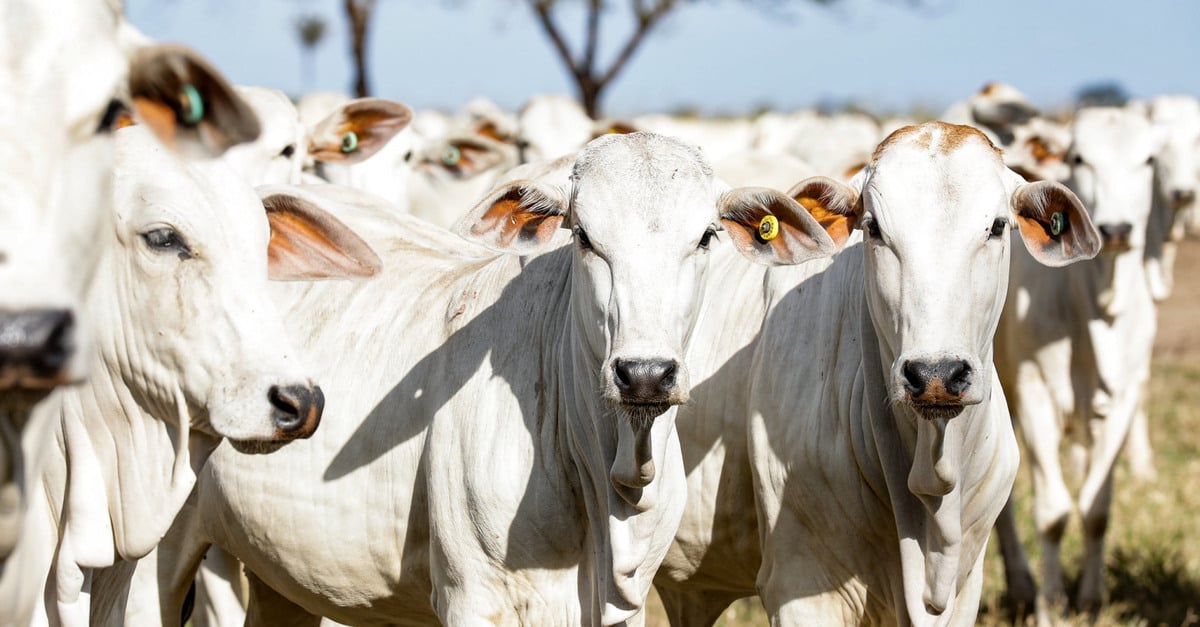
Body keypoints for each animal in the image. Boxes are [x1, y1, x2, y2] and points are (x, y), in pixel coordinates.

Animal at [993, 105, 1171, 614]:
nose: (1117, 230)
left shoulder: (1125, 396)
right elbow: (1053, 513)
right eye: (1079, 158)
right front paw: (1051, 606)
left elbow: (1096, 510)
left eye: (1149, 160)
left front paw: (1091, 599)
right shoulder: (1033, 391)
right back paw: (1022, 585)